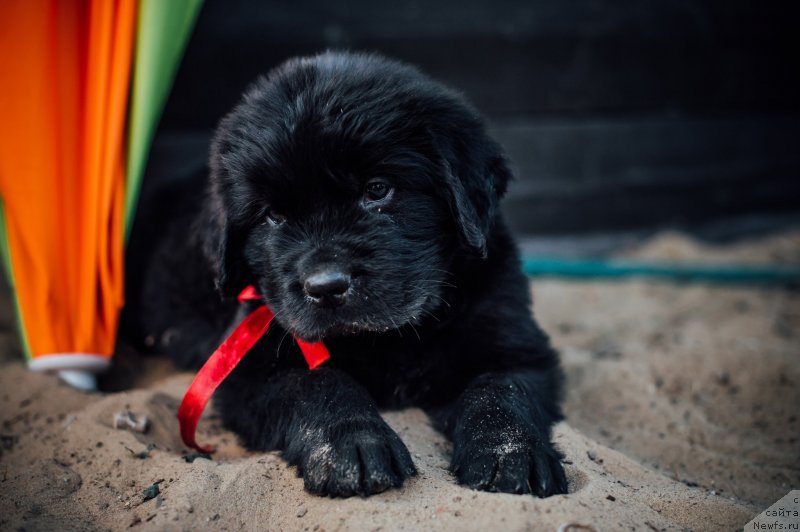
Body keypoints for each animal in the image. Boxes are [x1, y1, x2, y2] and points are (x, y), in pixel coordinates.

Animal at [142, 52, 568, 496]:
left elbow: (499, 392)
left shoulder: (512, 342)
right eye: (273, 216)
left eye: (377, 189)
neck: (389, 339)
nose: (326, 287)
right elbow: (318, 384)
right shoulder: (252, 365)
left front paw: (512, 456)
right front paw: (354, 446)